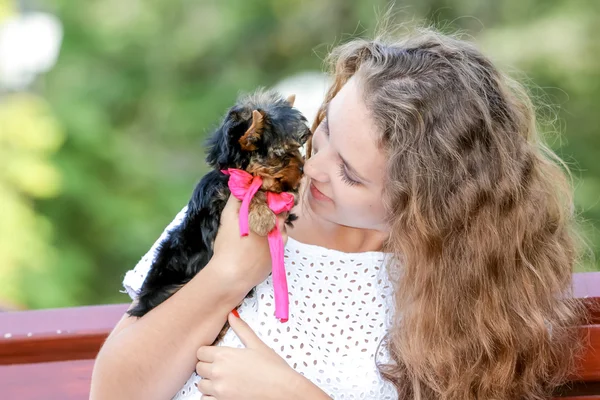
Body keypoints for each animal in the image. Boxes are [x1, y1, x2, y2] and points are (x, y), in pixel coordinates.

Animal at [126, 87, 310, 340]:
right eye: (283, 156)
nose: (302, 168)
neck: (236, 172)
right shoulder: (218, 200)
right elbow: (251, 192)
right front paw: (262, 216)